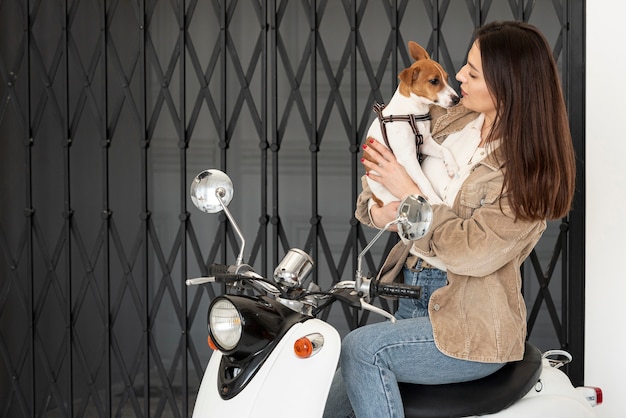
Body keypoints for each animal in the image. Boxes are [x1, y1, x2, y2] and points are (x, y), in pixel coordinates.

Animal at [366, 40, 458, 207]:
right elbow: (424, 181)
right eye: (434, 81)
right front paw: (435, 201)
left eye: (447, 78)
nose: (457, 99)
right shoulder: (407, 156)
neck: (413, 114)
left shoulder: (425, 144)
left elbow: (445, 150)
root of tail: (378, 200)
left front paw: (451, 166)